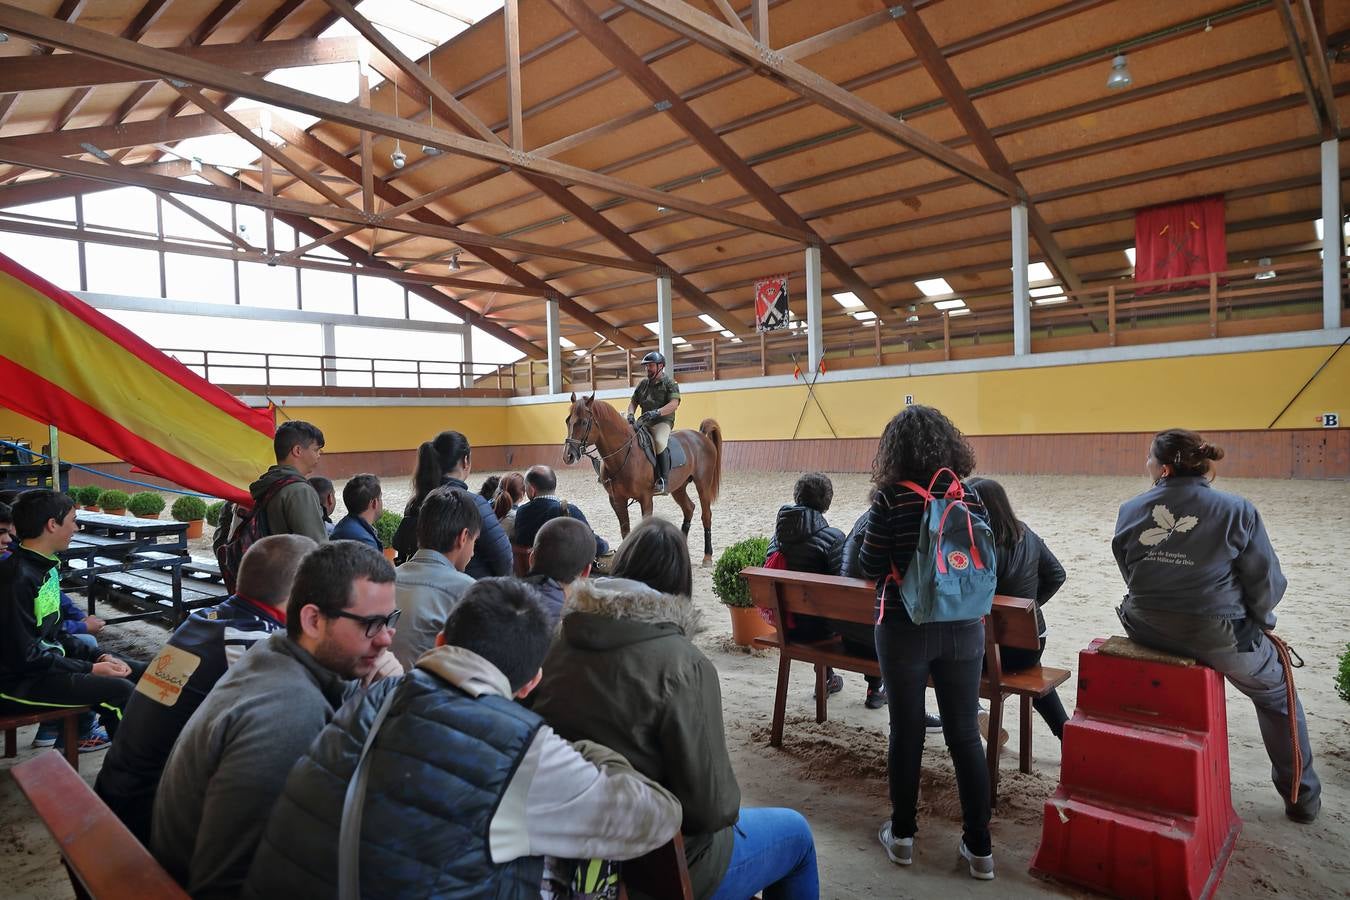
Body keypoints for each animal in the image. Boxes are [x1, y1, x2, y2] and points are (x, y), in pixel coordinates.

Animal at [564, 394, 723, 564]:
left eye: (583, 422)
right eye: (568, 421)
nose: (568, 456)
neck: (625, 454)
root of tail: (700, 436)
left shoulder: (646, 498)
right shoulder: (617, 500)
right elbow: (625, 531)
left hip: (703, 485)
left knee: (706, 515)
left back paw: (707, 556)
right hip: (679, 488)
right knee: (689, 508)